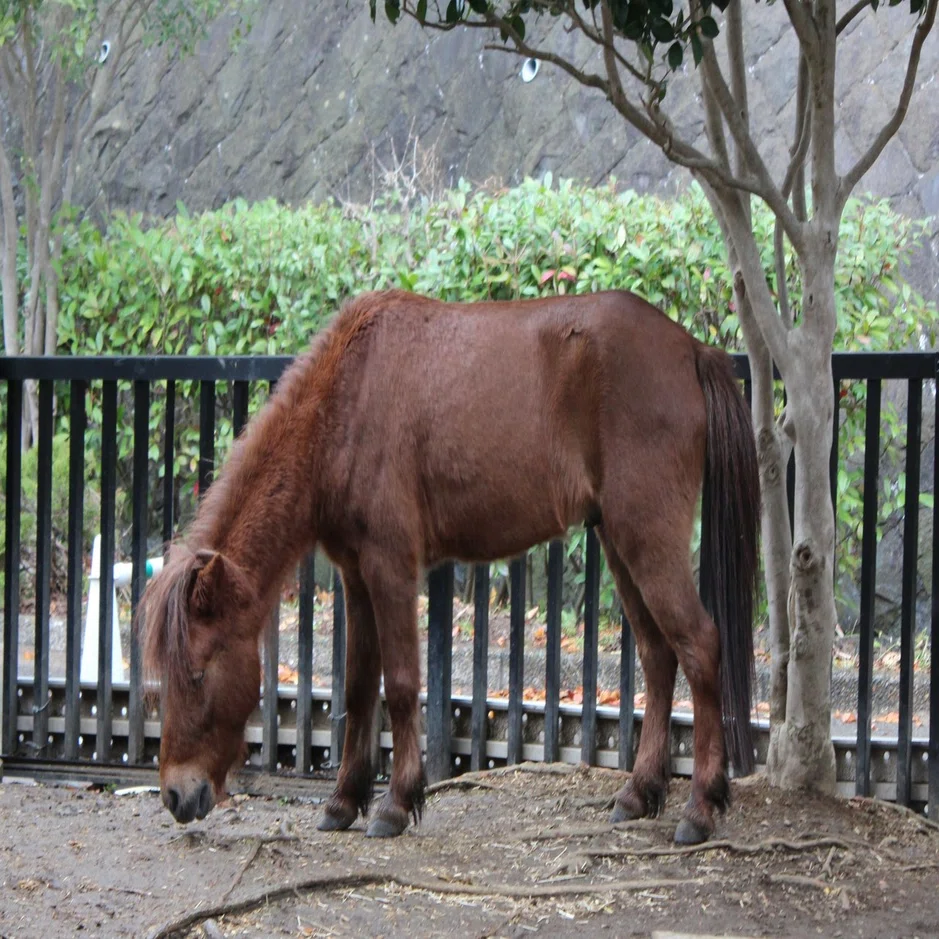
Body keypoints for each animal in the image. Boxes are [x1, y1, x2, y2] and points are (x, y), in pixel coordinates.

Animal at [139, 287, 760, 845]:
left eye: (198, 672)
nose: (175, 795)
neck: (347, 399)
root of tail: (690, 349)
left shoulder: (389, 565)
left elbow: (400, 685)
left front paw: (396, 803)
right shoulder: (355, 576)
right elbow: (358, 686)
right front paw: (344, 800)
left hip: (645, 539)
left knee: (700, 645)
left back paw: (701, 808)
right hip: (619, 544)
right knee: (659, 656)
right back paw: (640, 792)